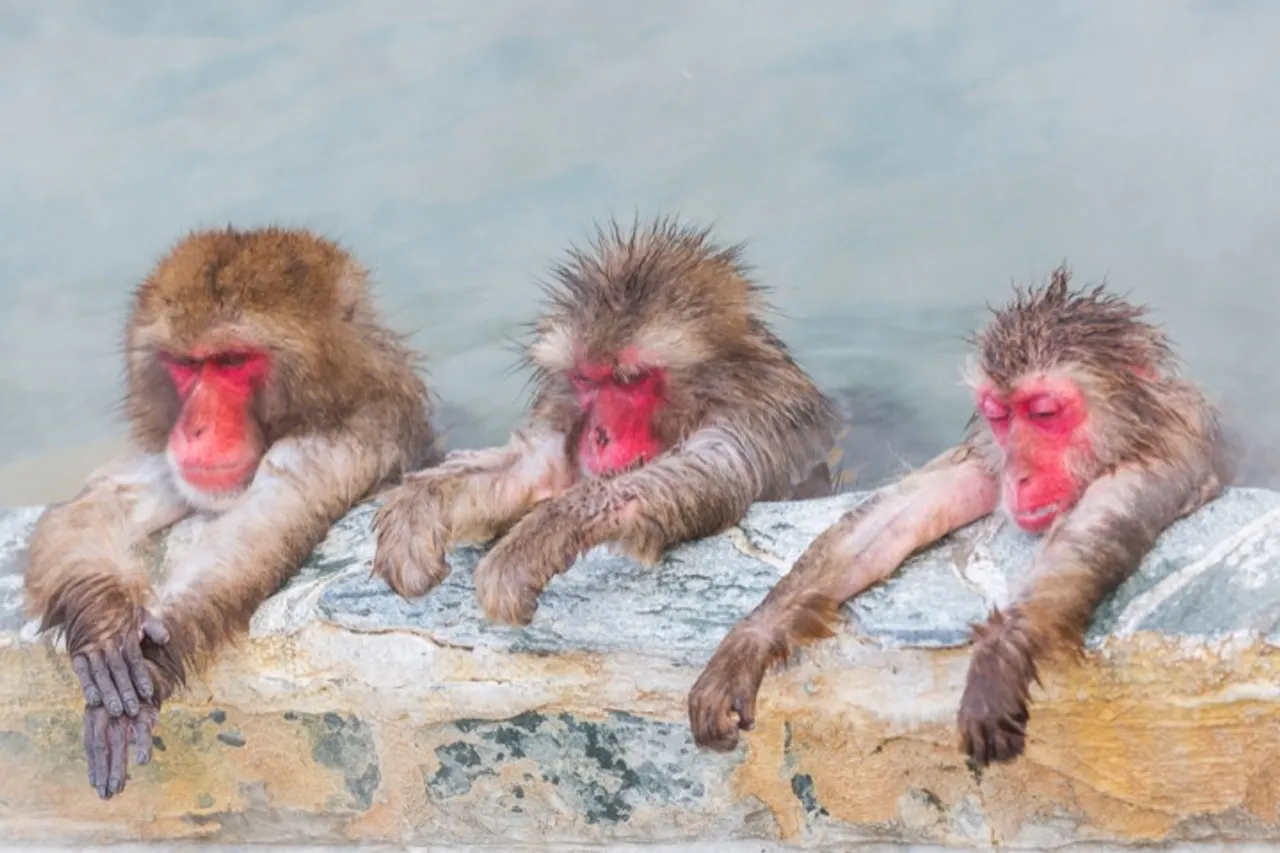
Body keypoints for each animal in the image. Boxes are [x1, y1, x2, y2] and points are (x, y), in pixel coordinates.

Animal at [23, 226, 435, 799]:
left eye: (233, 361)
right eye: (187, 365)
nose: (195, 429)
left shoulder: (361, 435)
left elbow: (271, 520)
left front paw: (152, 663)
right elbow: (98, 505)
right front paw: (107, 627)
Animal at [372, 218, 840, 626]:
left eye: (629, 379)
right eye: (585, 378)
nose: (600, 437)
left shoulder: (754, 423)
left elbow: (704, 474)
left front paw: (535, 541)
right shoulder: (566, 416)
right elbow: (533, 468)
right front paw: (416, 511)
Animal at [688, 265, 1230, 765]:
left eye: (1045, 413)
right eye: (999, 415)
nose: (1019, 476)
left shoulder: (1169, 453)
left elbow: (1094, 533)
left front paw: (1000, 656)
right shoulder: (986, 453)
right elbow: (897, 517)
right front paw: (748, 642)